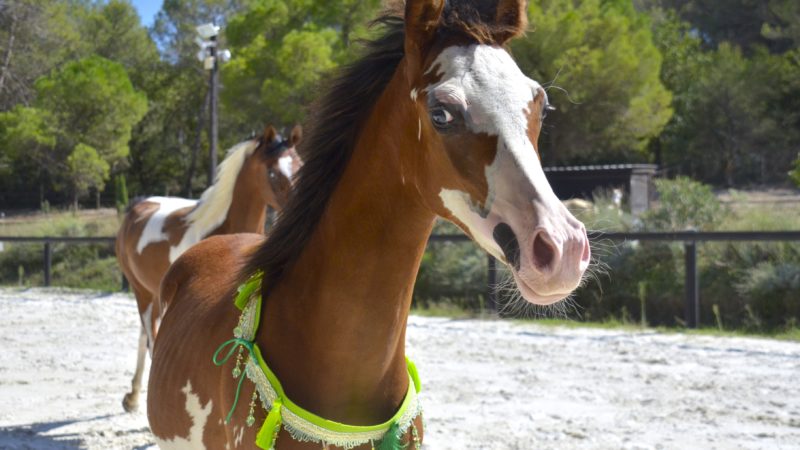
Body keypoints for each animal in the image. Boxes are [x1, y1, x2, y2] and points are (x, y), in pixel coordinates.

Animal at [115, 124, 302, 413]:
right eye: (272, 172)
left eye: (300, 165)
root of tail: (138, 206)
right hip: (142, 294)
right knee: (148, 337)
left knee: (143, 337)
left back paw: (134, 396)